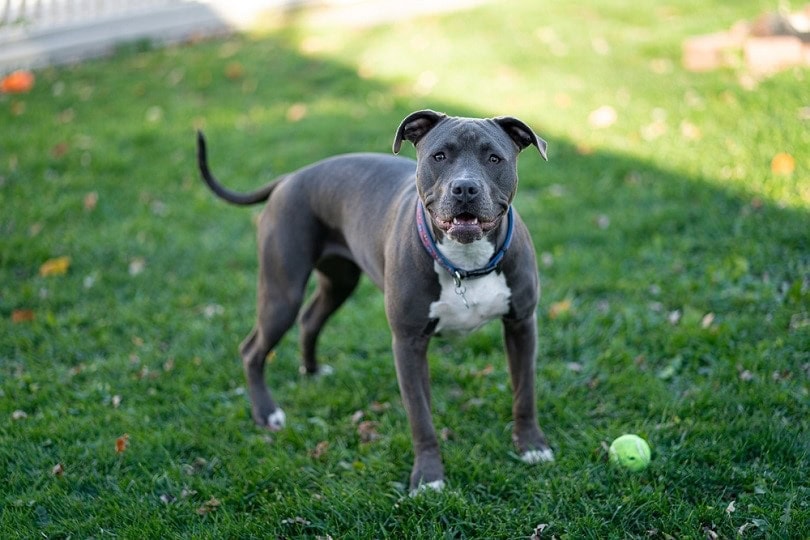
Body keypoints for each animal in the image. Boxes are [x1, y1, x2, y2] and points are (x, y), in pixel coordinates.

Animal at [193, 110, 552, 494]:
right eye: (439, 156)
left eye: (494, 158)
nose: (465, 188)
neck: (466, 264)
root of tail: (290, 178)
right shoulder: (408, 343)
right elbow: (421, 417)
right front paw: (428, 477)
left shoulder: (521, 325)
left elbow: (525, 392)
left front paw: (531, 446)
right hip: (281, 293)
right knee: (252, 349)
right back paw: (266, 412)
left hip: (339, 282)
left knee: (310, 319)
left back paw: (312, 371)